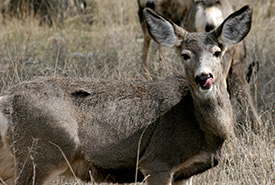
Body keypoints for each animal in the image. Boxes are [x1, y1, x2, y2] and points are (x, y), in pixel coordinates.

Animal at [0, 5, 253, 185]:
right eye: (185, 55)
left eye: (217, 52)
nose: (204, 77)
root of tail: (6, 101)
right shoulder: (157, 160)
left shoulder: (183, 172)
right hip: (41, 154)